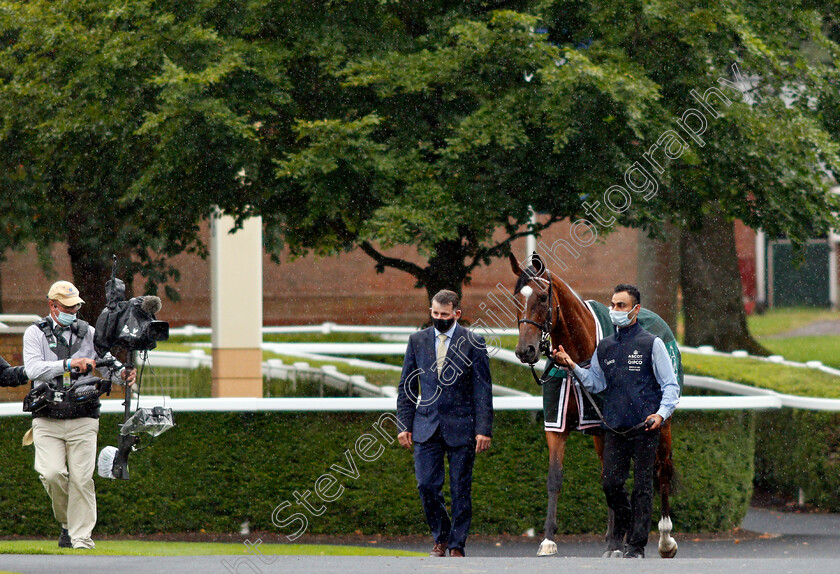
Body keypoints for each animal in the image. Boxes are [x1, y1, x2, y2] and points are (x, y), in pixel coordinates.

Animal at [508, 254, 680, 560]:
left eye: (542, 296)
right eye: (517, 297)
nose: (525, 350)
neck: (579, 355)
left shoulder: (603, 429)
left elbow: (609, 477)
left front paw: (614, 543)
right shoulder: (555, 425)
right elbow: (555, 478)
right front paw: (548, 539)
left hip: (662, 423)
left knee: (662, 470)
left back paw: (663, 538)